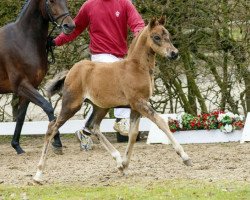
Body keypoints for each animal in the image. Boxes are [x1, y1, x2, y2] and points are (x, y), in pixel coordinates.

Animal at [0, 0, 75, 154]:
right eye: (51, 1)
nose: (69, 26)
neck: (23, 40)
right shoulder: (22, 85)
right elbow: (48, 107)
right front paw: (57, 142)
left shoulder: (29, 88)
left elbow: (21, 117)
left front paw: (17, 146)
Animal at [33, 17, 191, 183]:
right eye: (156, 37)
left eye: (168, 35)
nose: (174, 53)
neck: (136, 68)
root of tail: (71, 71)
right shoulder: (139, 103)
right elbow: (161, 122)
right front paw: (185, 157)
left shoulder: (135, 107)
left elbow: (133, 134)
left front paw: (125, 165)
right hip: (71, 105)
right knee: (52, 128)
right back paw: (38, 174)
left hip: (100, 107)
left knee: (92, 126)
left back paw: (118, 160)